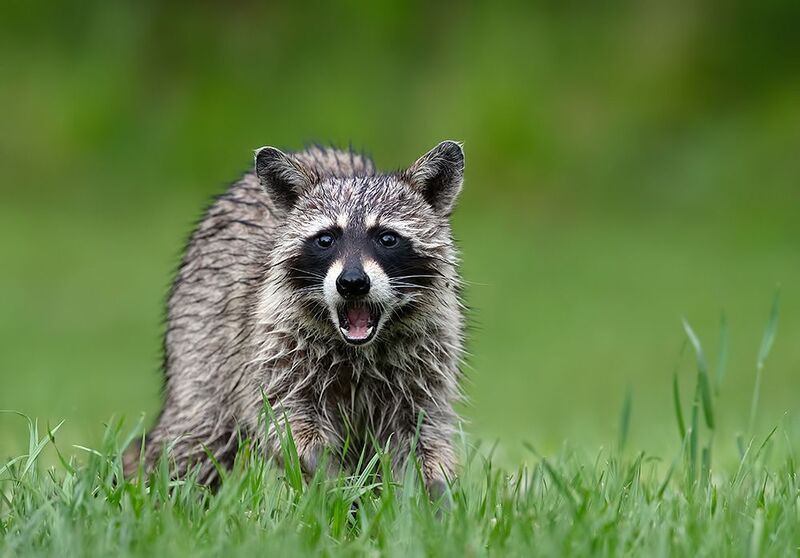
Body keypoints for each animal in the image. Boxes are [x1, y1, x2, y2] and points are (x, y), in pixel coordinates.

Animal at [126, 141, 466, 496]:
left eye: (387, 238)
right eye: (326, 239)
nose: (352, 283)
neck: (359, 349)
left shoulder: (426, 359)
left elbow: (423, 433)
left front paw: (436, 493)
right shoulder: (276, 345)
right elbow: (285, 420)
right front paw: (336, 480)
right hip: (202, 339)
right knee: (196, 438)